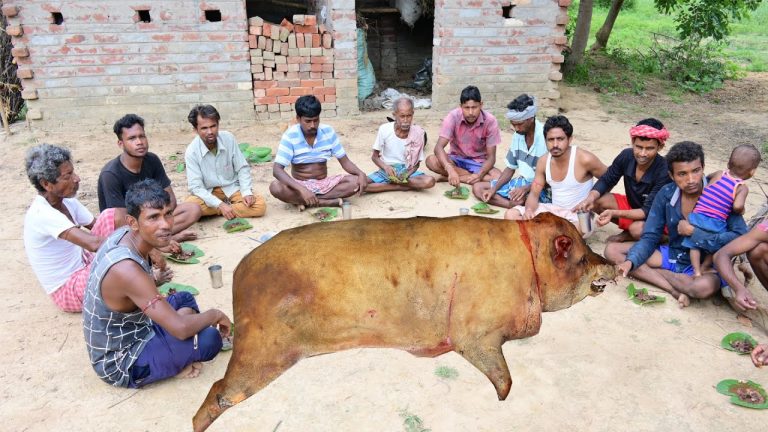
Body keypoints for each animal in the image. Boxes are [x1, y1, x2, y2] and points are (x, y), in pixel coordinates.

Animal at [193, 212, 616, 431]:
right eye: (580, 256)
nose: (611, 264)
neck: (529, 264)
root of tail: (239, 272)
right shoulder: (475, 330)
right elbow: (498, 370)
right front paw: (502, 398)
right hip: (263, 347)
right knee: (220, 391)